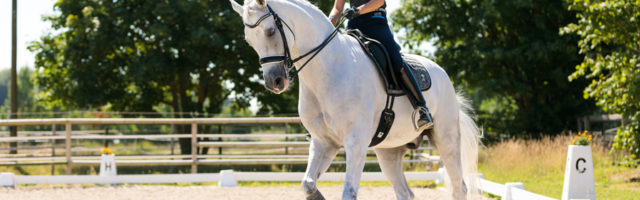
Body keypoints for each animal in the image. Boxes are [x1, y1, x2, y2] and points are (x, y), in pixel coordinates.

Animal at [230, 0, 480, 198]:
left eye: (270, 31)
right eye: (248, 40)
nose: (274, 82)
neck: (328, 70)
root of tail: (442, 74)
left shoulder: (356, 142)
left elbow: (348, 193)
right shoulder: (323, 142)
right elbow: (307, 183)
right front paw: (317, 195)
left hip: (446, 140)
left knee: (460, 187)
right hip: (389, 151)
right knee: (405, 193)